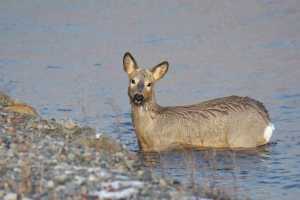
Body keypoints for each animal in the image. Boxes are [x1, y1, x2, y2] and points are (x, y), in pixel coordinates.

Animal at [122, 52, 274, 152]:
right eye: (132, 81)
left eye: (149, 84)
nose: (138, 97)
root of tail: (266, 119)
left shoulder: (164, 144)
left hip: (243, 139)